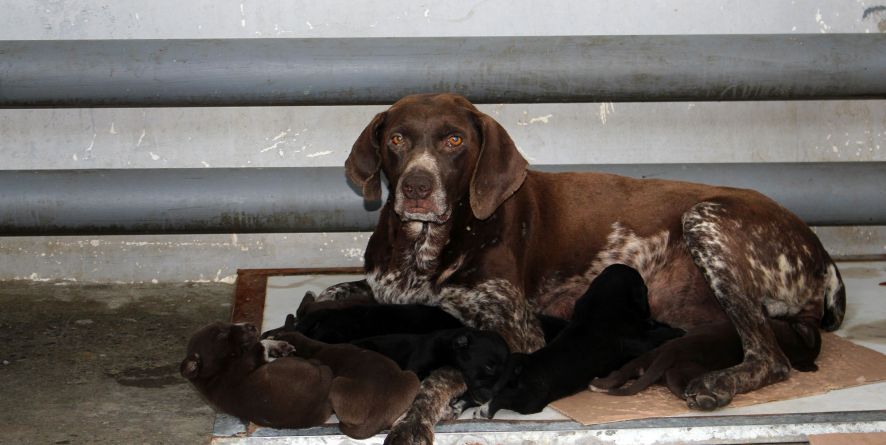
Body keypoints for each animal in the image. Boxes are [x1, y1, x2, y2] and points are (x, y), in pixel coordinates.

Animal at [180, 320, 336, 428]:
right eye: (221, 334)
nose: (252, 325)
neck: (215, 374)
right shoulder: (248, 361)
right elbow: (260, 344)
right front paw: (275, 344)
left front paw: (278, 345)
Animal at [482, 264, 684, 416]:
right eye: (644, 289)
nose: (649, 313)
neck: (603, 301)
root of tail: (525, 363)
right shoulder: (637, 340)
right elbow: (655, 336)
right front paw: (677, 330)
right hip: (529, 401)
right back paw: (486, 410)